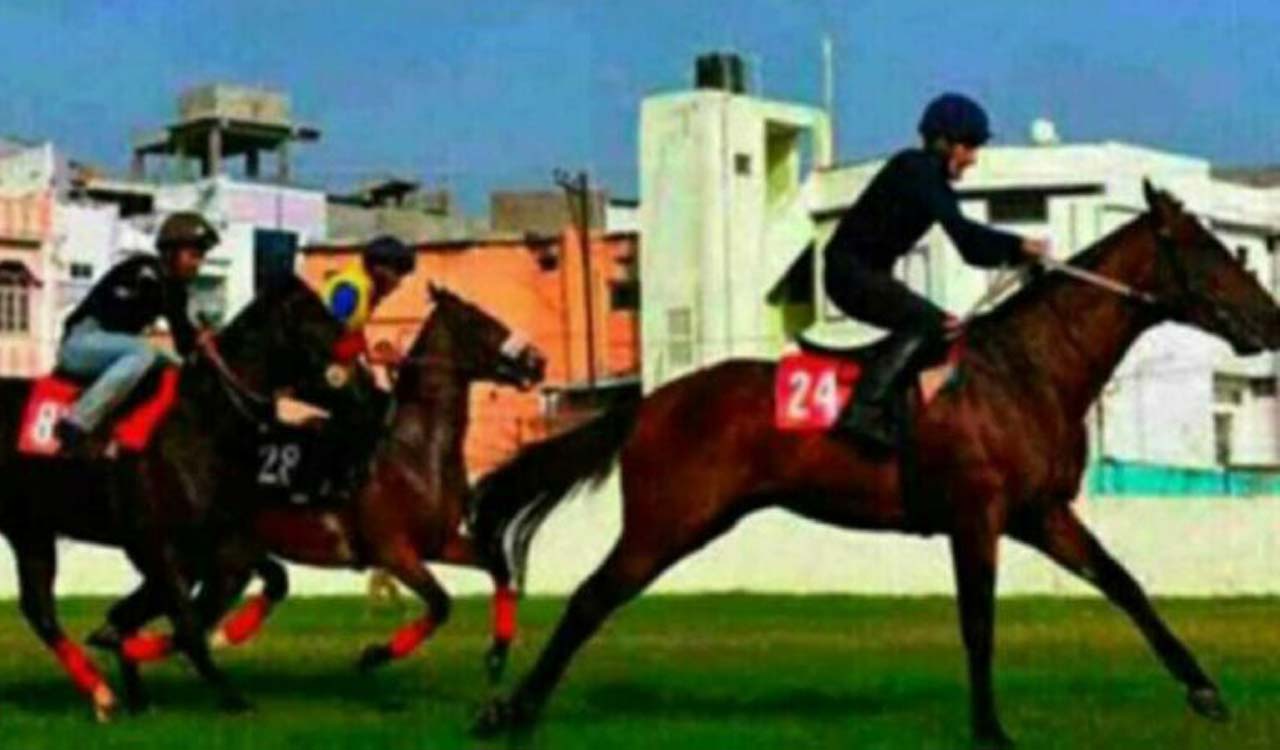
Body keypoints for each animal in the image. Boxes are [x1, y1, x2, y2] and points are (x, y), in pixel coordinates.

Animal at [0, 275, 345, 720]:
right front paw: (231, 696)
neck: (202, 421)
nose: (356, 365)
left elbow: (270, 579)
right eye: (315, 317)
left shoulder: (215, 539)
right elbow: (187, 623)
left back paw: (102, 694)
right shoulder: (155, 545)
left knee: (39, 609)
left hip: (31, 531)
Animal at [89, 283, 547, 710]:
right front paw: (374, 654)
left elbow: (498, 568)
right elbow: (440, 604)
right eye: (480, 322)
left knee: (142, 619)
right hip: (202, 558)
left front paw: (498, 655)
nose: (537, 361)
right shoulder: (394, 551)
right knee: (169, 622)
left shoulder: (440, 542)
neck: (415, 449)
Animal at [468, 182, 1280, 749]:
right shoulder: (977, 516)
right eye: (1213, 253)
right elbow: (978, 622)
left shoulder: (1040, 513)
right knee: (588, 600)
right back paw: (509, 711)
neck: (1027, 369)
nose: (1271, 321)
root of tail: (650, 403)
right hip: (669, 522)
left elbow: (1124, 584)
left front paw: (1206, 692)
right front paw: (990, 728)